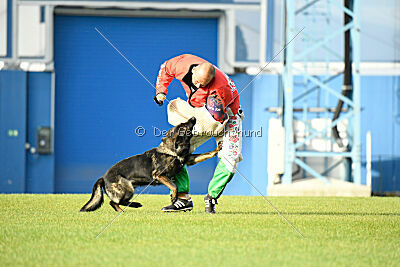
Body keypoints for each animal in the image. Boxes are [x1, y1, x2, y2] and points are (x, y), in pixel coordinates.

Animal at [79, 117, 220, 214]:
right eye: (183, 126)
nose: (193, 117)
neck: (173, 152)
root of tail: (103, 177)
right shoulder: (159, 175)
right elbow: (174, 186)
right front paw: (174, 197)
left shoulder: (189, 160)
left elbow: (205, 154)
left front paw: (217, 149)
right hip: (128, 188)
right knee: (113, 202)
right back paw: (128, 208)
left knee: (117, 202)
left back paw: (131, 206)